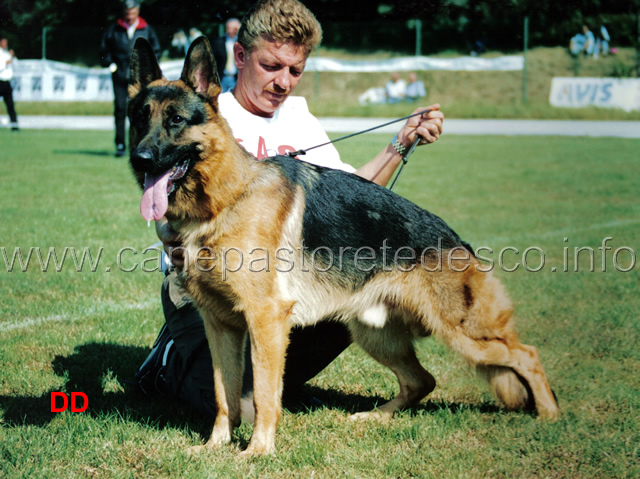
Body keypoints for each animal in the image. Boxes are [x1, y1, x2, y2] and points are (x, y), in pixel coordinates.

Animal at [127, 38, 556, 458]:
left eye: (176, 120)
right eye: (139, 118)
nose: (140, 157)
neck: (225, 198)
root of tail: (456, 239)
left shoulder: (266, 320)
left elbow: (263, 394)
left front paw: (258, 451)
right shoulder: (221, 326)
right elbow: (224, 393)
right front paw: (216, 445)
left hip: (463, 334)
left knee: (527, 355)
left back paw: (549, 415)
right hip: (376, 335)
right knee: (422, 380)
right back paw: (377, 416)